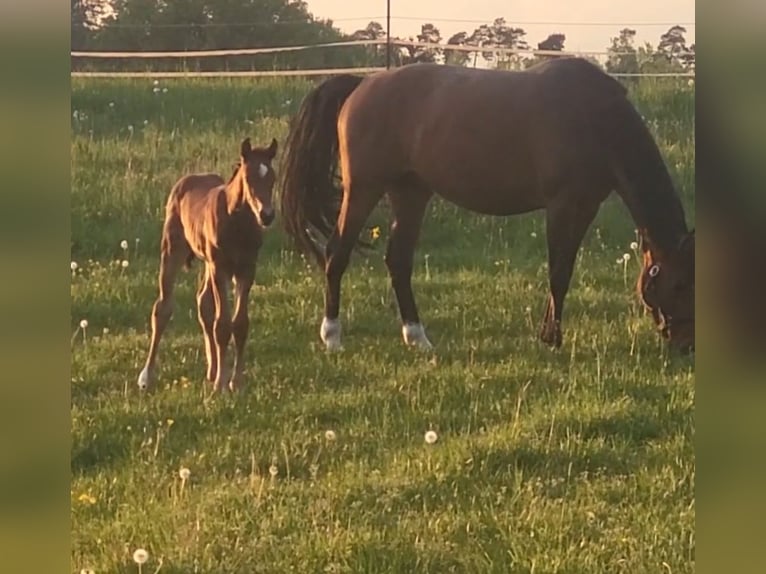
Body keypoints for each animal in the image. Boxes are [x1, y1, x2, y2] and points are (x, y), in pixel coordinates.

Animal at [137, 137, 278, 394]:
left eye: (272, 178)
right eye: (248, 178)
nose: (267, 215)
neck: (237, 223)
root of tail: (190, 178)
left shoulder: (247, 269)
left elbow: (240, 324)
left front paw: (235, 382)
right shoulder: (220, 267)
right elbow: (222, 325)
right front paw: (222, 384)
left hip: (207, 264)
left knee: (204, 304)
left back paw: (212, 370)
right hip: (173, 250)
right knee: (162, 308)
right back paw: (147, 376)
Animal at [279, 58, 695, 354]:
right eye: (678, 284)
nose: (685, 346)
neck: (594, 118)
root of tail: (362, 84)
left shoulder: (586, 205)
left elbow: (566, 270)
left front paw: (550, 333)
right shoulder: (562, 205)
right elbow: (558, 273)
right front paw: (551, 338)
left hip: (410, 193)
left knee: (398, 261)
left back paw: (418, 338)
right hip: (364, 189)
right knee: (336, 254)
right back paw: (332, 336)